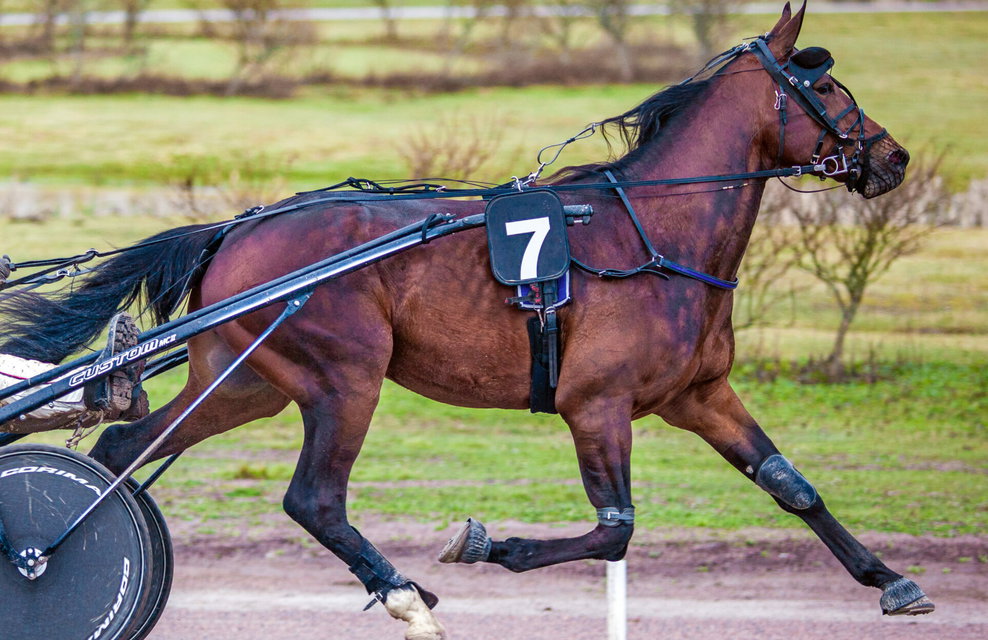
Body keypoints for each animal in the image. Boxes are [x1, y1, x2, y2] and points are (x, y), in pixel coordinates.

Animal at [0, 3, 932, 637]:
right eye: (826, 85)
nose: (894, 156)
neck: (654, 232)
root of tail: (237, 228)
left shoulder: (698, 394)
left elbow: (792, 485)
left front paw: (891, 579)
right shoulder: (596, 404)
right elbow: (616, 531)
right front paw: (486, 544)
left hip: (249, 379)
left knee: (127, 447)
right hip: (345, 376)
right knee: (314, 498)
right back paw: (404, 596)